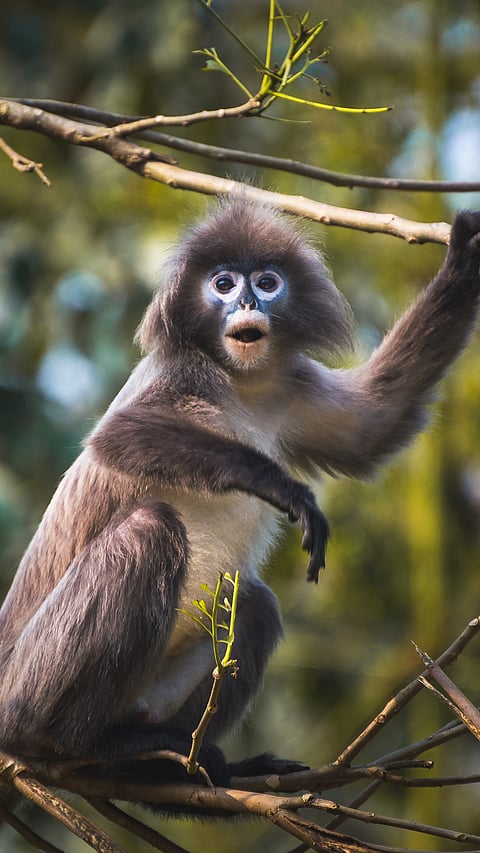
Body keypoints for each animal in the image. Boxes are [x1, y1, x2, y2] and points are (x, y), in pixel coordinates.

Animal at [0, 197, 479, 810]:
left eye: (267, 282)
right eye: (223, 284)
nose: (247, 303)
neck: (239, 383)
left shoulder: (291, 387)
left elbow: (372, 425)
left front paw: (465, 262)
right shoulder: (179, 371)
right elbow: (118, 436)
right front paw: (282, 487)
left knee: (257, 604)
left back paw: (163, 768)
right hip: (28, 680)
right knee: (148, 528)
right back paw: (64, 742)